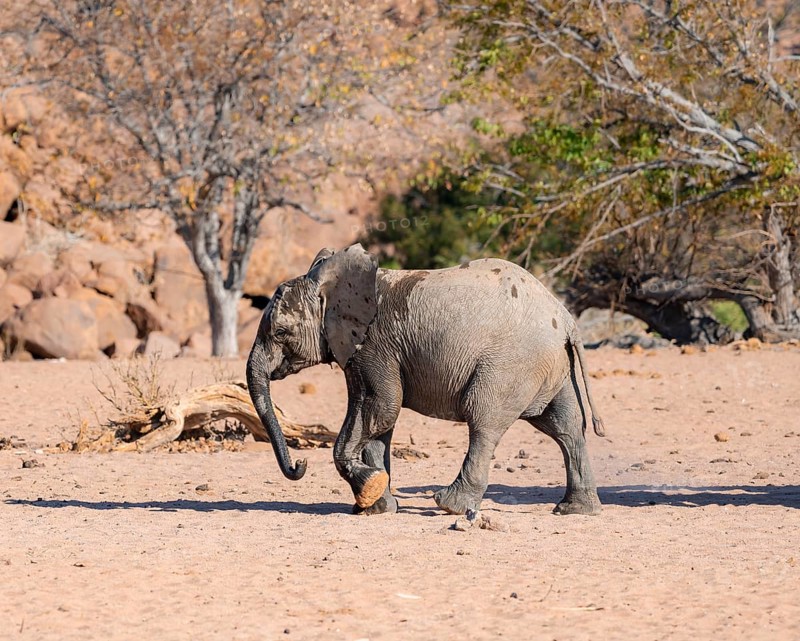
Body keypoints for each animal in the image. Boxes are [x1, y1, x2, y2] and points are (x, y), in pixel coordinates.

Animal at [246, 243, 606, 516]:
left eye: (281, 332)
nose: (300, 463)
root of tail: (566, 319)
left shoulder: (374, 344)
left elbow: (380, 408)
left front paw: (370, 492)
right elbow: (379, 421)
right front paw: (375, 507)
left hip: (511, 364)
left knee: (484, 421)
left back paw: (449, 505)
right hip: (551, 367)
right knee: (566, 428)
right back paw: (575, 510)